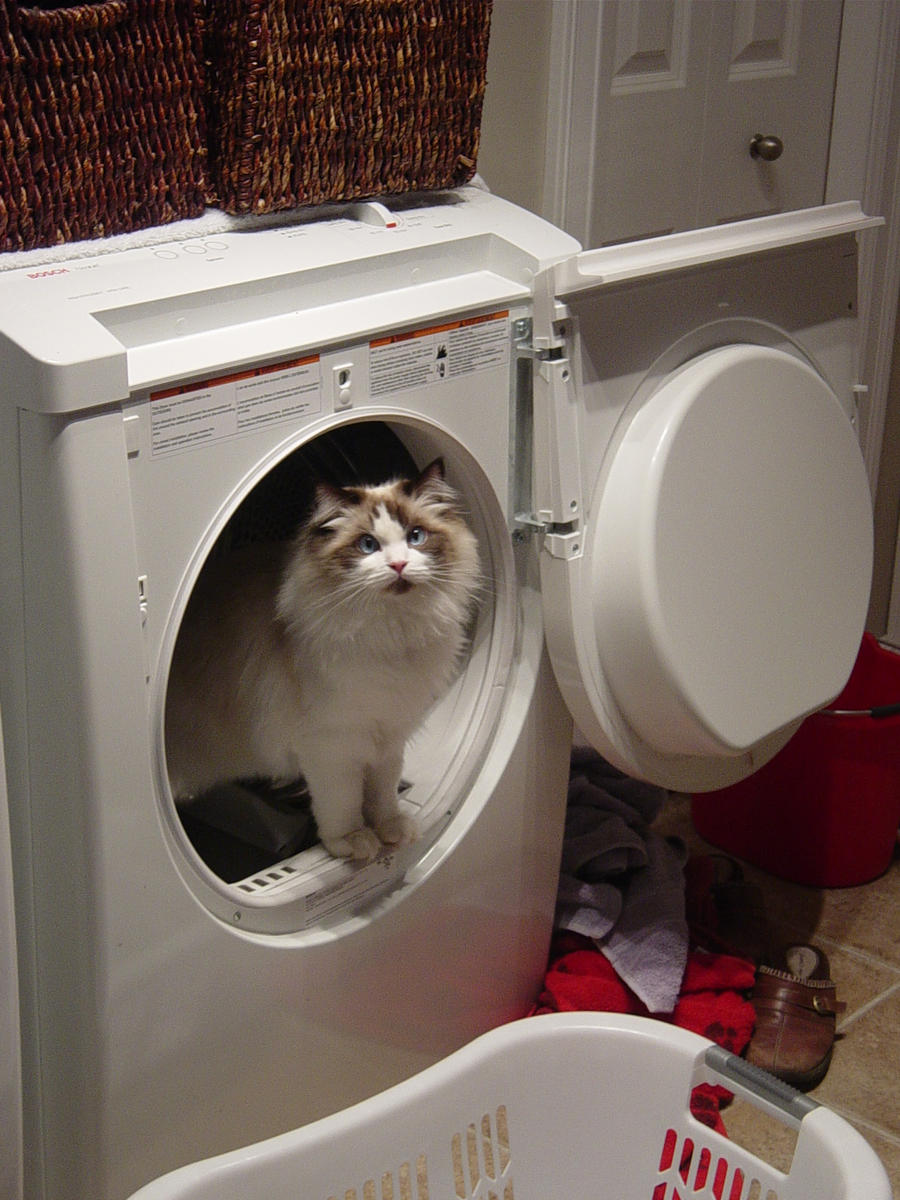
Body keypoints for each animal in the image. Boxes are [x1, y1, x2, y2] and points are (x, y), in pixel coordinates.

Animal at [165, 458, 482, 864]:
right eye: (367, 545)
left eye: (416, 537)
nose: (398, 565)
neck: (392, 634)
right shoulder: (333, 745)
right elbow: (342, 802)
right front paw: (354, 842)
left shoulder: (389, 732)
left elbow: (383, 791)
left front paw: (392, 830)